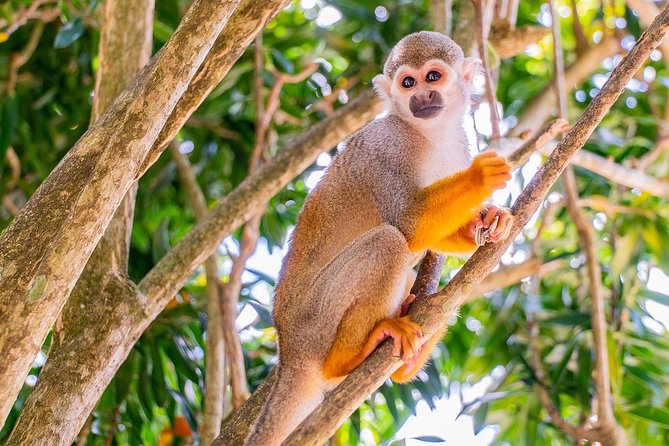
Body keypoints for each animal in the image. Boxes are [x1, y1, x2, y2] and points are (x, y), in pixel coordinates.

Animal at [244, 31, 513, 445]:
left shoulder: (458, 144)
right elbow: (409, 224)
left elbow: (430, 235)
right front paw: (479, 177)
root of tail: (287, 353)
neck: (427, 134)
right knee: (388, 242)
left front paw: (489, 220)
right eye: (408, 83)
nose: (422, 97)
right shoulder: (387, 146)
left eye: (432, 77)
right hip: (315, 323)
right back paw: (349, 357)